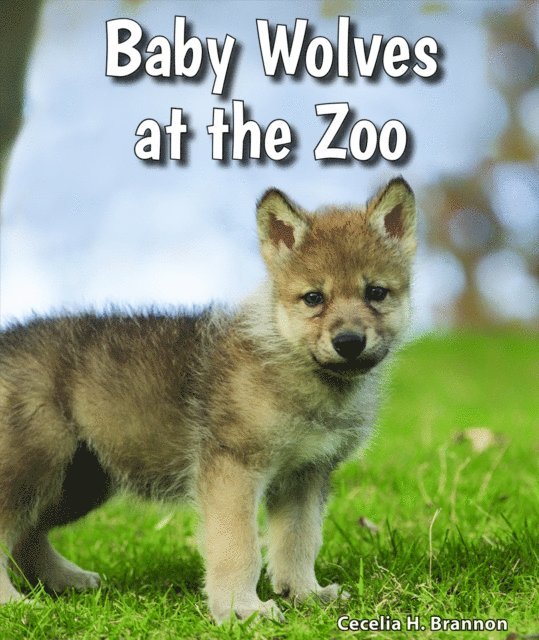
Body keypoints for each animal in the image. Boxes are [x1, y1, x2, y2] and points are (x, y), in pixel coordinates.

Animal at [0, 178, 416, 622]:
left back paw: (65, 581)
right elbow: (240, 547)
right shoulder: (234, 468)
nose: (349, 342)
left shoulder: (305, 475)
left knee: (26, 536)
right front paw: (242, 609)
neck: (295, 367)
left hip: (78, 480)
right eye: (313, 298)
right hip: (37, 465)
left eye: (376, 292)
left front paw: (305, 594)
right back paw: (14, 603)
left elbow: (299, 542)